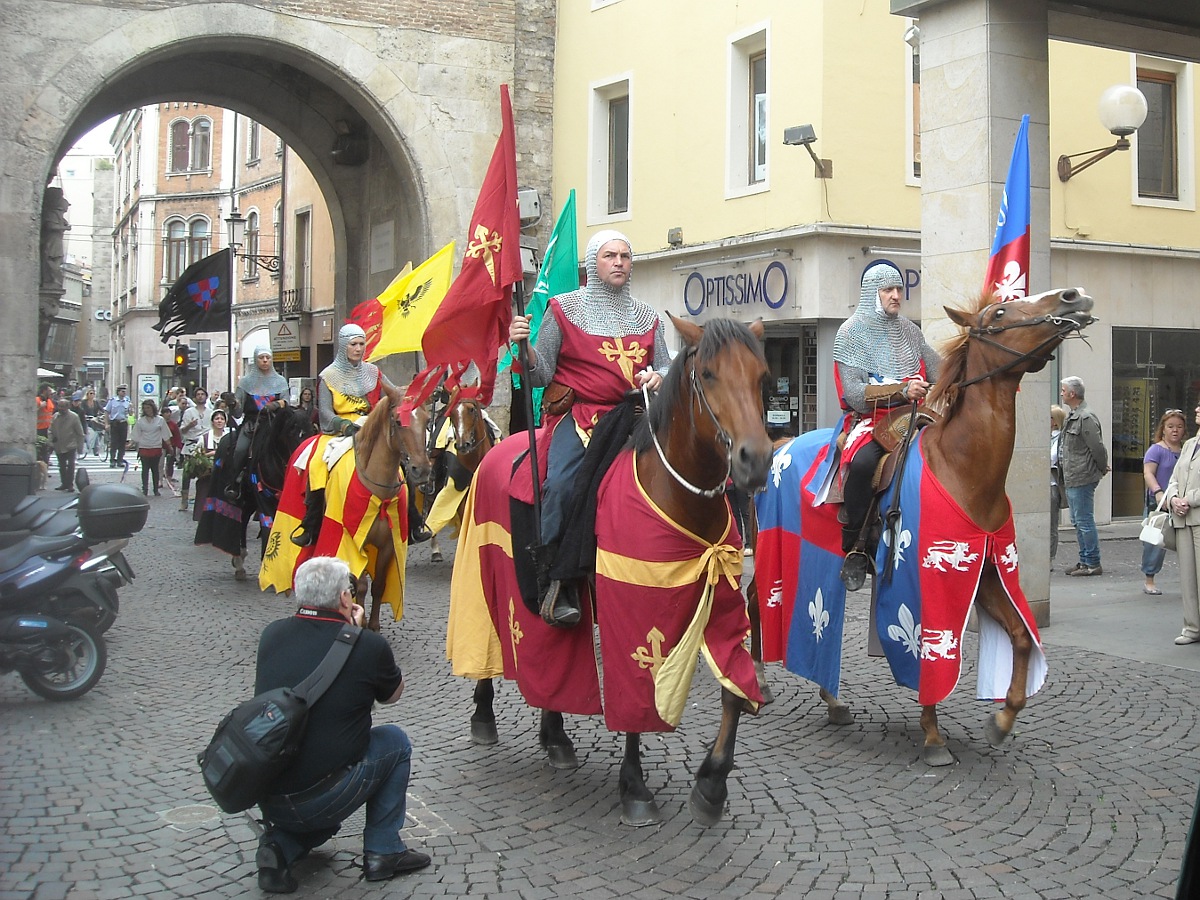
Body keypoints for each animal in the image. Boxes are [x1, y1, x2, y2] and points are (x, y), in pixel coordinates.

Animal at [446, 314, 772, 830]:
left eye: (762, 377)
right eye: (709, 374)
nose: (755, 460)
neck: (675, 493)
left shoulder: (720, 592)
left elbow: (735, 688)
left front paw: (712, 783)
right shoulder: (634, 601)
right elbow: (634, 699)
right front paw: (634, 787)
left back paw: (556, 735)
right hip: (484, 564)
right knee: (489, 632)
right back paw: (484, 714)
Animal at [748, 289, 1099, 768]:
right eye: (1001, 312)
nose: (1073, 297)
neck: (961, 467)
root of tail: (780, 444)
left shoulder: (987, 570)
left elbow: (1022, 638)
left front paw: (1001, 720)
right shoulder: (925, 586)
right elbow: (926, 653)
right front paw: (933, 737)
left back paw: (832, 700)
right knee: (756, 600)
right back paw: (761, 682)